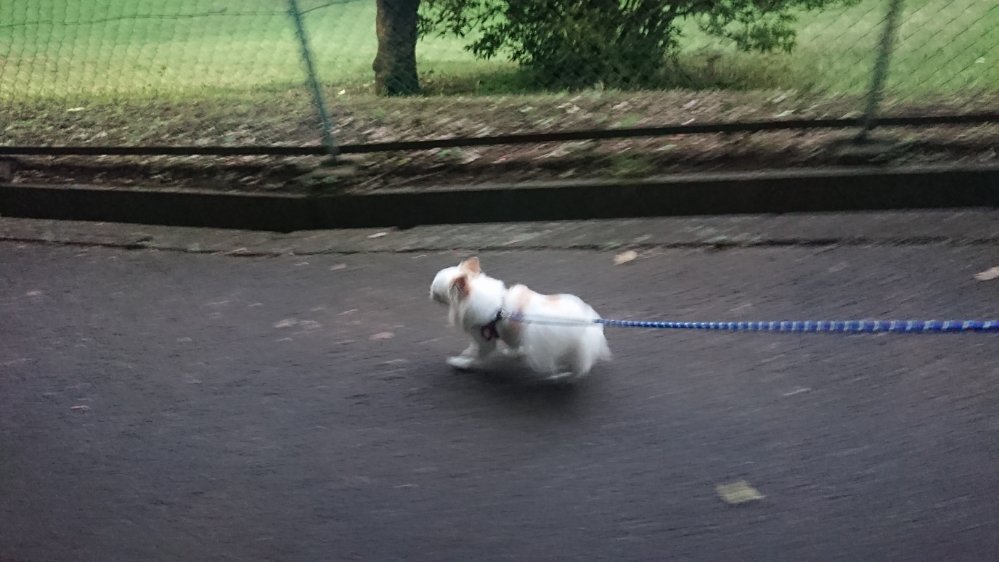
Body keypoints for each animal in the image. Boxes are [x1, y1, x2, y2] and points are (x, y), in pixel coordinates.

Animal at [430, 257, 610, 381]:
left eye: (436, 291)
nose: (430, 293)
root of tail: (587, 324)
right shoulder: (508, 332)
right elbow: (511, 344)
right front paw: (515, 352)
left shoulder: (485, 338)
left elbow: (477, 356)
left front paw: (461, 362)